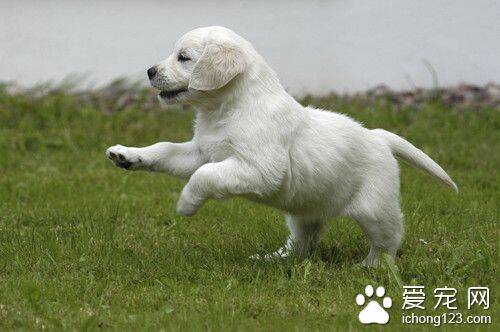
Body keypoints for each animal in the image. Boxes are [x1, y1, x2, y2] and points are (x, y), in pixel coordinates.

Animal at [106, 26, 458, 266]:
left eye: (184, 57)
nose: (150, 71)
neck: (228, 108)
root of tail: (378, 136)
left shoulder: (260, 168)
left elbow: (204, 176)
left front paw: (186, 204)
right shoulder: (201, 152)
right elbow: (165, 149)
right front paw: (128, 155)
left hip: (374, 209)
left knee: (389, 239)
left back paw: (372, 267)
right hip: (305, 212)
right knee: (303, 244)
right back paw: (273, 259)